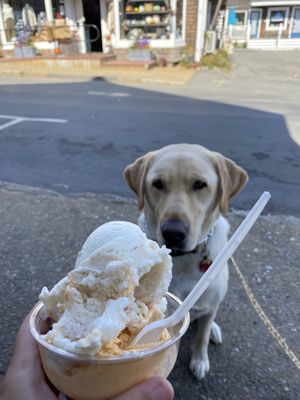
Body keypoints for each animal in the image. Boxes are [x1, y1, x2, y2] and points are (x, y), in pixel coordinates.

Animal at [124, 143, 248, 378]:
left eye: (200, 184)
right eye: (158, 184)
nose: (173, 233)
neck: (182, 259)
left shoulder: (209, 303)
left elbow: (201, 337)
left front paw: (199, 361)